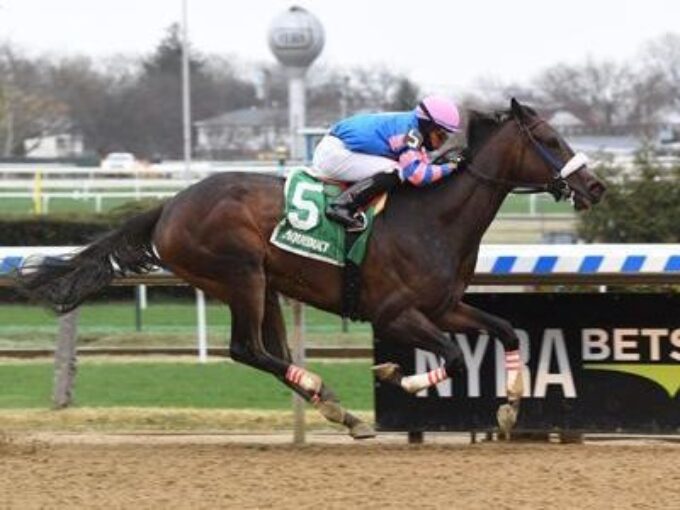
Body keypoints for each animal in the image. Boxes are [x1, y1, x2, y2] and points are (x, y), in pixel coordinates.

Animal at [15, 98, 604, 438]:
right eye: (550, 141)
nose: (595, 185)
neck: (435, 217)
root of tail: (170, 206)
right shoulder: (395, 313)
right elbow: (454, 358)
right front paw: (398, 376)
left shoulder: (444, 305)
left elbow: (505, 331)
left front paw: (509, 408)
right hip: (241, 276)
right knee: (246, 349)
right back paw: (327, 395)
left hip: (266, 285)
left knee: (268, 352)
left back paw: (338, 411)